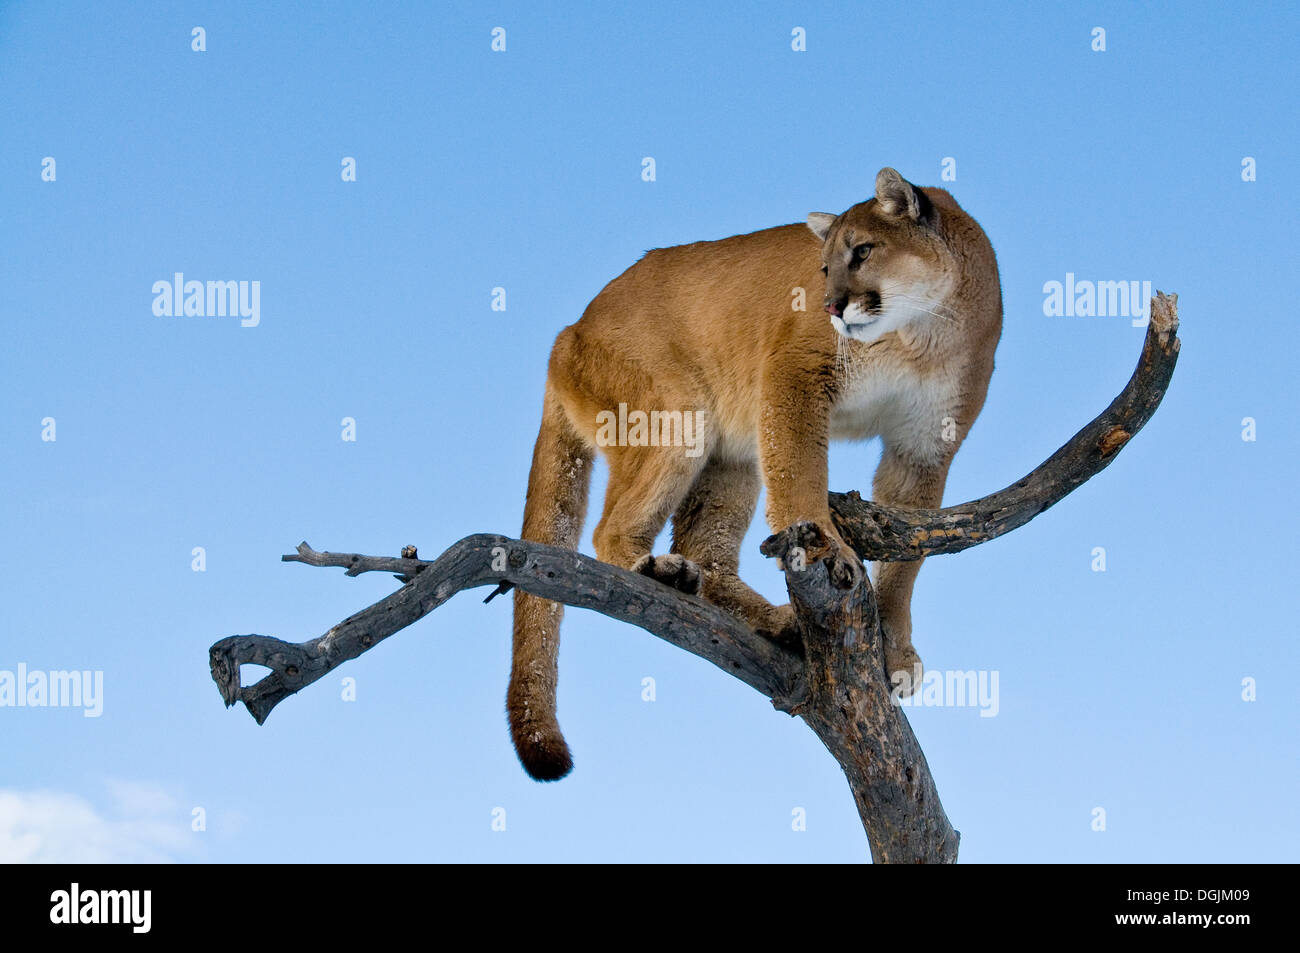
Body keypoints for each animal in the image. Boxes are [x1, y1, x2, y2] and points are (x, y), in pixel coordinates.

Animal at [501, 169, 998, 780]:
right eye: (823, 267)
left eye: (862, 251)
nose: (831, 306)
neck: (919, 337)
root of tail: (568, 331)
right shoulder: (795, 373)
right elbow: (800, 477)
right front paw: (827, 547)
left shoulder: (924, 445)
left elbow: (909, 559)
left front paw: (896, 649)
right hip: (677, 412)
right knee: (609, 529)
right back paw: (660, 572)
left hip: (729, 457)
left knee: (707, 550)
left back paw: (776, 622)